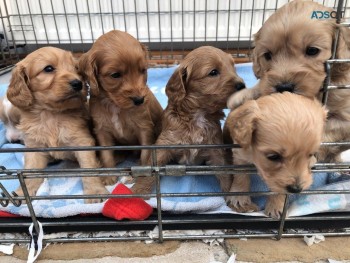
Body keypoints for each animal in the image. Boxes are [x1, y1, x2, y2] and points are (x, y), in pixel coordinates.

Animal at [6, 46, 108, 204]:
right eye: (48, 68)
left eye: (76, 68)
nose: (78, 83)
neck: (51, 115)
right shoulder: (34, 147)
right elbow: (29, 173)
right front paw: (23, 193)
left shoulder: (83, 142)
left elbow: (89, 168)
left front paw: (95, 191)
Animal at [78, 29, 163, 186]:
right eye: (115, 75)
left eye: (143, 70)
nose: (140, 100)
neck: (115, 105)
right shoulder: (102, 131)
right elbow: (106, 153)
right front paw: (108, 175)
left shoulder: (144, 128)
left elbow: (145, 152)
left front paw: (143, 172)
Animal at [131, 46, 246, 195]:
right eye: (213, 72)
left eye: (233, 68)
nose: (242, 85)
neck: (198, 115)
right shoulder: (164, 144)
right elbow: (151, 170)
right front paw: (138, 191)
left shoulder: (215, 148)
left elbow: (225, 172)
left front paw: (232, 194)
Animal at [227, 0, 350, 163]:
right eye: (267, 55)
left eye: (312, 50)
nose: (284, 86)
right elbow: (265, 85)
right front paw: (244, 95)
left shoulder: (345, 120)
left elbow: (325, 132)